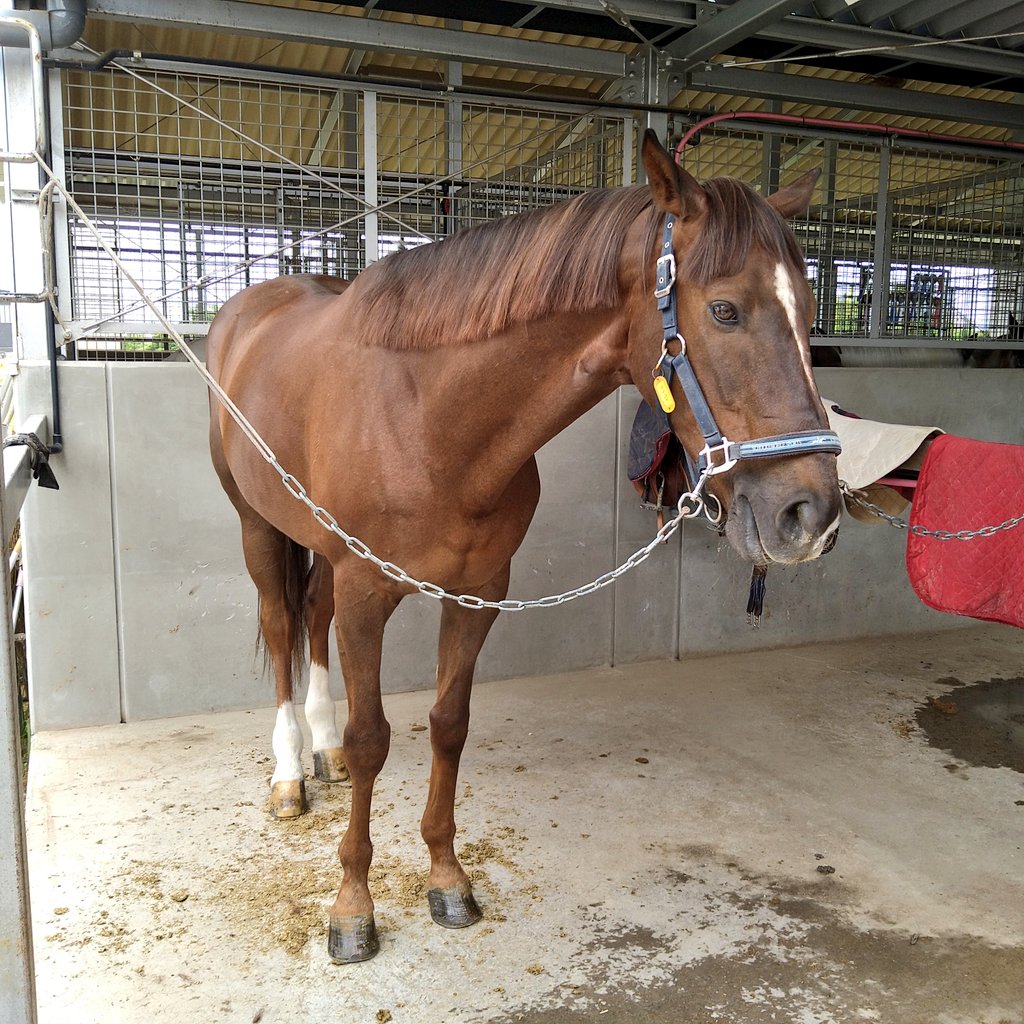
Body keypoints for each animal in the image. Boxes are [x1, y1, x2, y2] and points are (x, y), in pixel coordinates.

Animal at [205, 130, 842, 963]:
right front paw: (352, 908)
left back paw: (321, 754)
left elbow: (449, 724)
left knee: (311, 616)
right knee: (282, 626)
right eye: (725, 310)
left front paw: (447, 878)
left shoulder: (479, 592)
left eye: (810, 314)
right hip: (257, 523)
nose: (812, 513)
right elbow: (374, 736)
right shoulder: (368, 593)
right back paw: (288, 775)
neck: (425, 415)